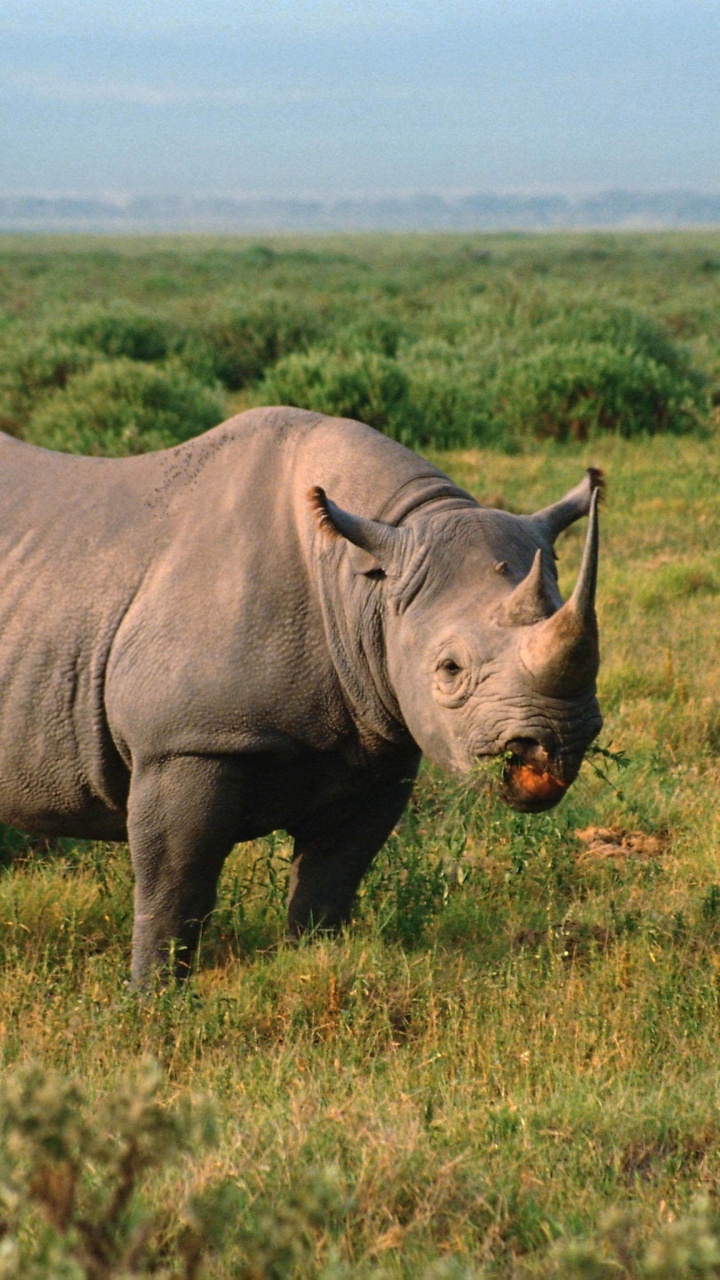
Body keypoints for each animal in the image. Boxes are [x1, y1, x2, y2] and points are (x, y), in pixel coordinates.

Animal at [0, 407, 602, 984]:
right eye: (450, 669)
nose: (553, 744)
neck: (363, 581)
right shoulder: (186, 740)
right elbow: (175, 887)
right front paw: (152, 995)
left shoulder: (378, 744)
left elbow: (330, 879)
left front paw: (314, 959)